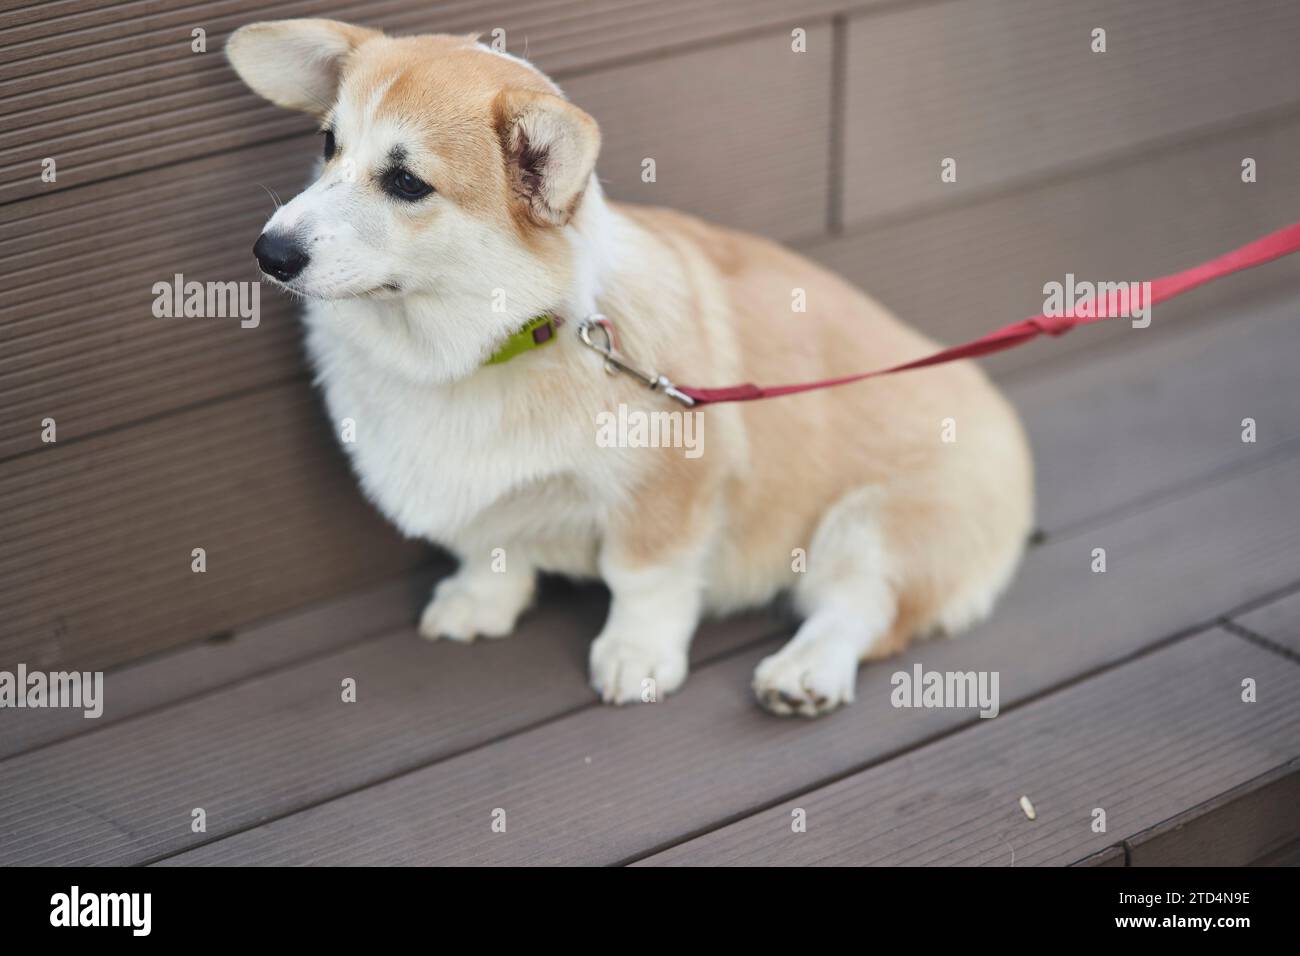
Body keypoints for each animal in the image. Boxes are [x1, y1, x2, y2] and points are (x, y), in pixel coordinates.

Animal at [228, 18, 1029, 717]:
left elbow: (642, 579)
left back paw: (805, 671)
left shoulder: (669, 487)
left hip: (875, 525)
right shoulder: (491, 505)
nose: (269, 253)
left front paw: (636, 655)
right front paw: (479, 602)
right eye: (329, 144)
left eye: (406, 183)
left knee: (861, 609)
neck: (487, 344)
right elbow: (493, 546)